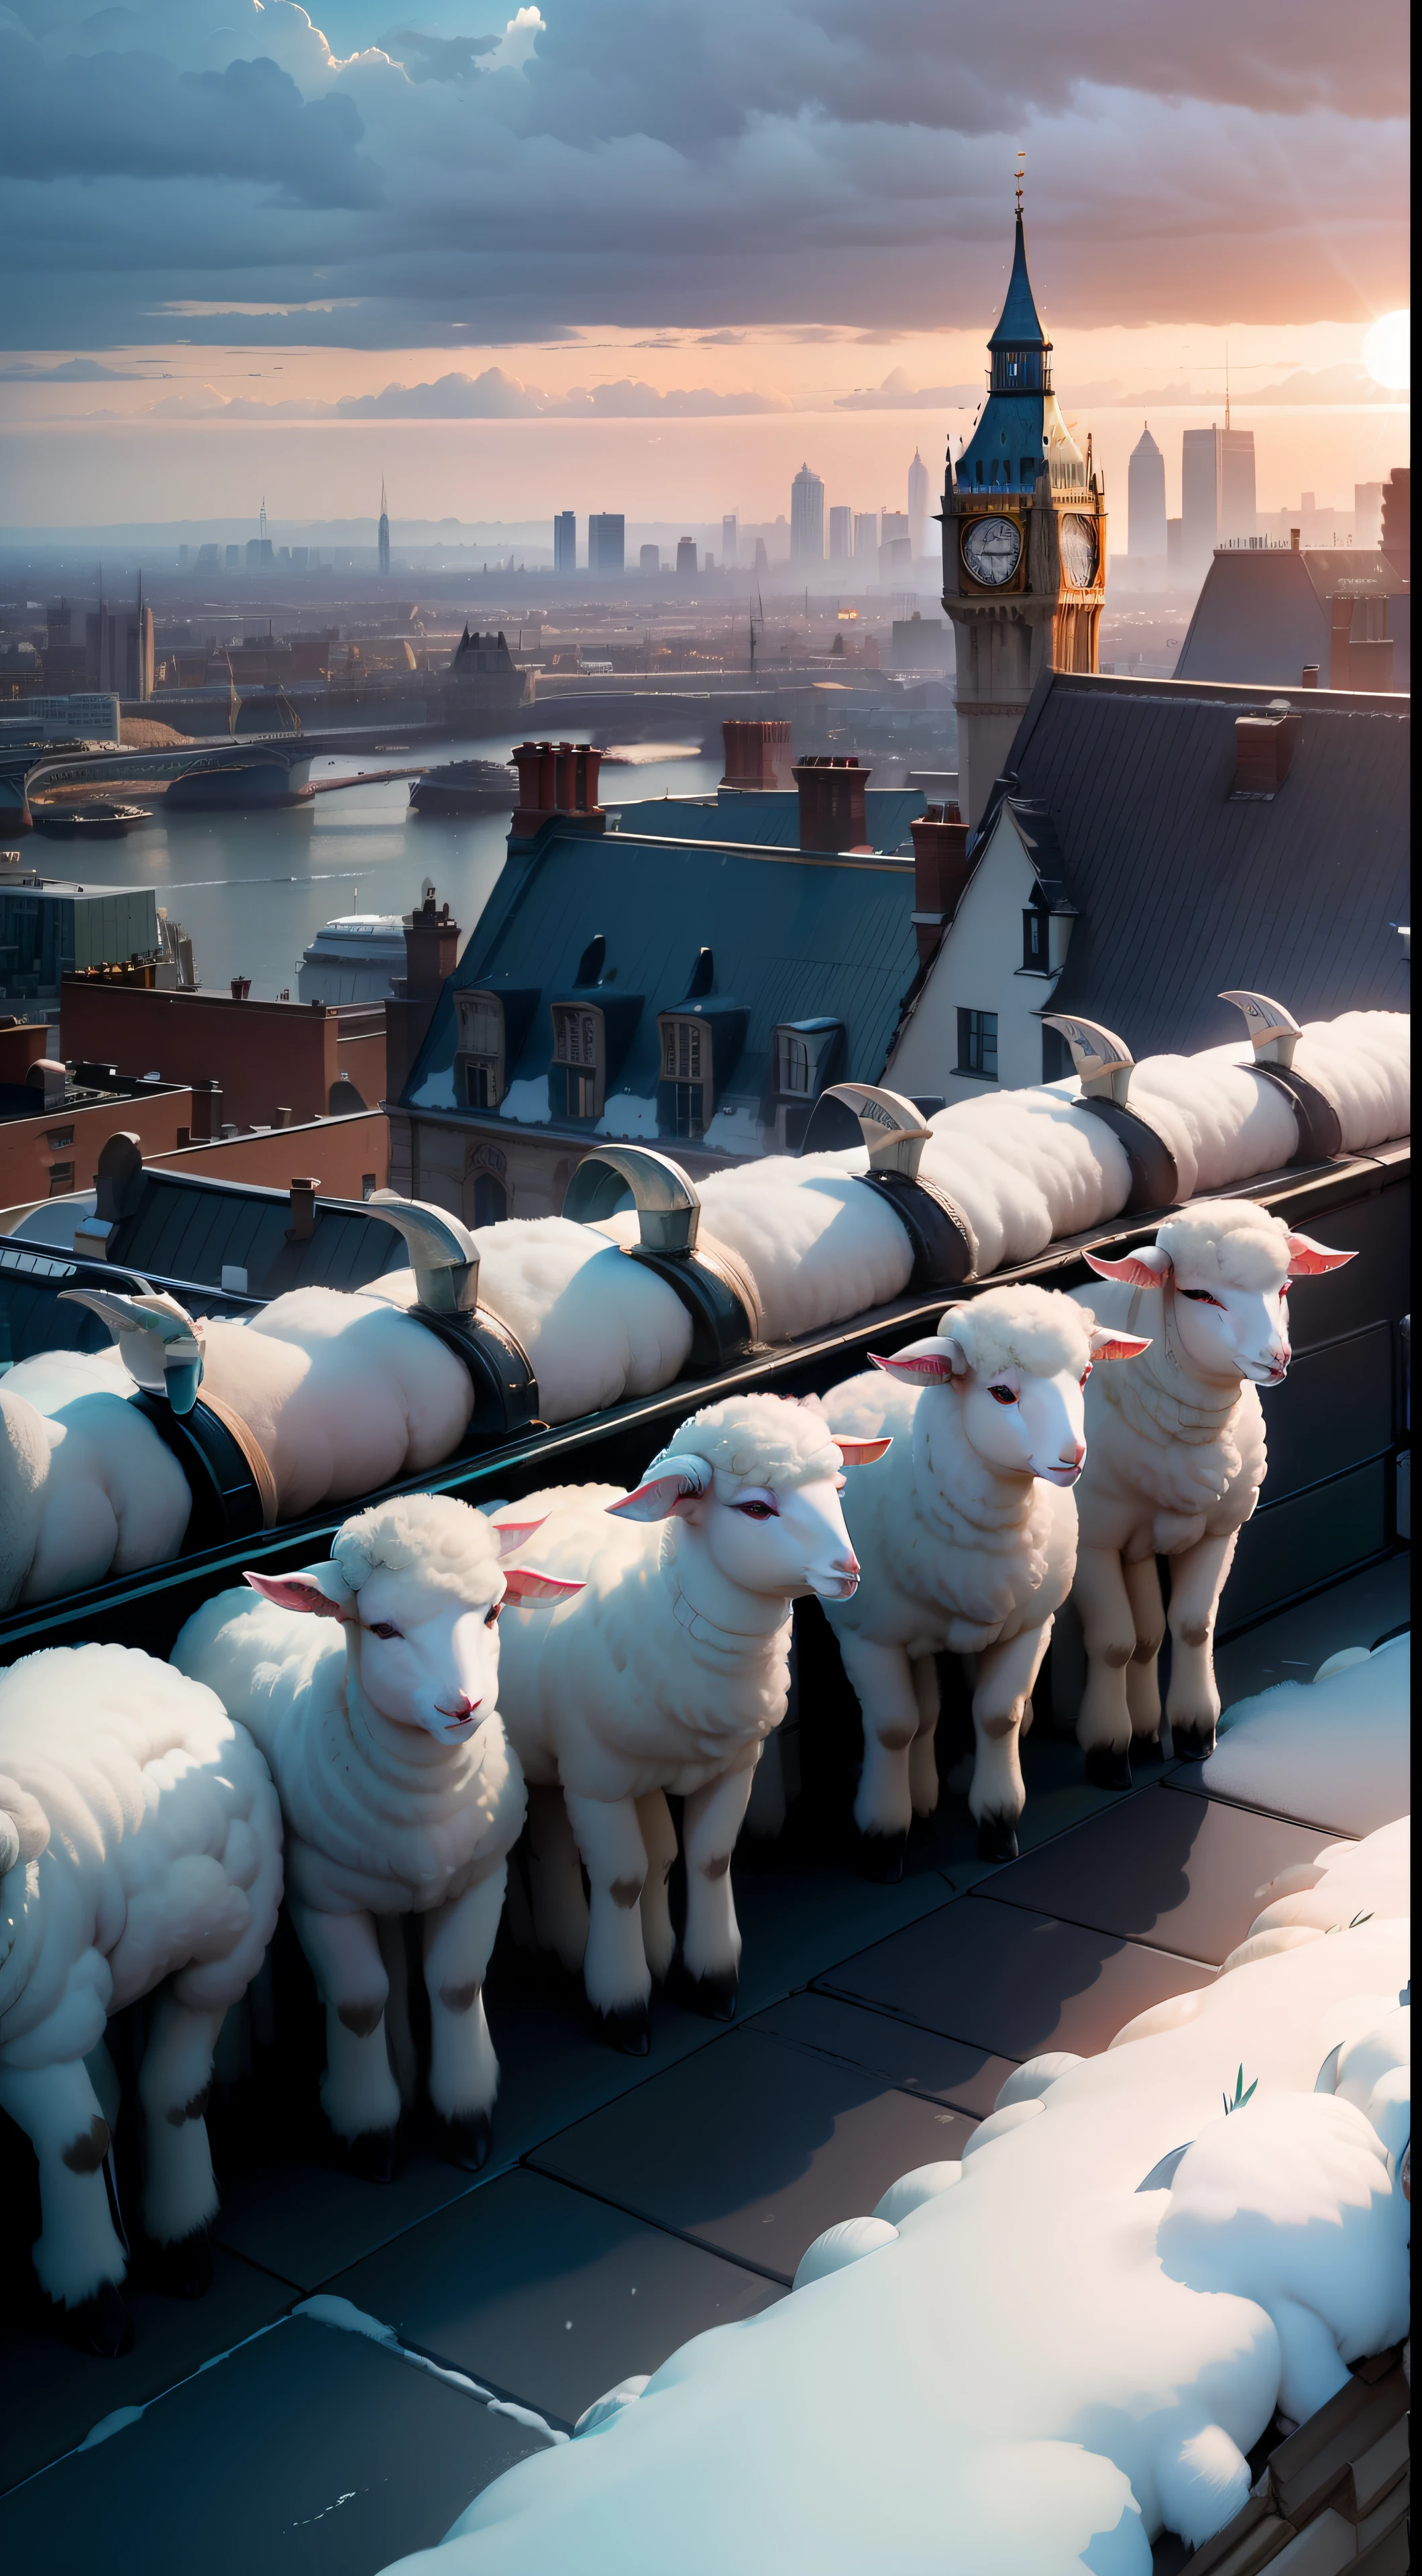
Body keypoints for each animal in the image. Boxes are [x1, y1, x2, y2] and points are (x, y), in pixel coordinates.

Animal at [0, 1648, 282, 2359]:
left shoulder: (39, 2033)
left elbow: (76, 2141)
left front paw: (92, 2300)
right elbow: (89, 2128)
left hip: (221, 1954)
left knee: (173, 2090)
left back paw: (183, 2241)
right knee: (117, 2087)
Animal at [172, 1494, 577, 2174]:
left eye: (494, 1612)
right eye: (383, 1629)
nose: (463, 1706)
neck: (425, 1790)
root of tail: (226, 1596)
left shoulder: (480, 1876)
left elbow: (456, 1987)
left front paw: (464, 2117)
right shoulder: (321, 1899)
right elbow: (359, 2004)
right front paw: (368, 2130)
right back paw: (240, 2065)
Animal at [494, 1391, 871, 2050]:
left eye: (838, 1487)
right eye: (755, 1508)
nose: (846, 1570)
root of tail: (527, 1500)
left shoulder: (734, 1765)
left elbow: (706, 1859)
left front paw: (712, 1979)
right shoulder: (596, 1783)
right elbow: (620, 1881)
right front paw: (622, 2006)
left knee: (633, 1848)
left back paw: (609, 1946)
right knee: (549, 1847)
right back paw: (557, 1946)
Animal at [814, 1288, 1148, 1875]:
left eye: (1085, 1375)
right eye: (1001, 1393)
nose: (1073, 1457)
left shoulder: (1030, 1626)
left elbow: (997, 1717)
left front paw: (997, 1824)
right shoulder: (867, 1636)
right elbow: (891, 1728)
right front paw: (882, 1839)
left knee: (934, 1708)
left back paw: (931, 1794)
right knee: (917, 1715)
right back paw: (917, 1801)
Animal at [1066, 1200, 1360, 1772]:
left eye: (1284, 1287)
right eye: (1199, 1295)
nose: (1277, 1357)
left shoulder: (1220, 1527)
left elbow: (1191, 1626)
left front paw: (1195, 1730)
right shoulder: (1093, 1538)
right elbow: (1112, 1644)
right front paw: (1107, 1752)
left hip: (1145, 1540)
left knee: (1151, 1633)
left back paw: (1147, 1731)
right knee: (1137, 1637)